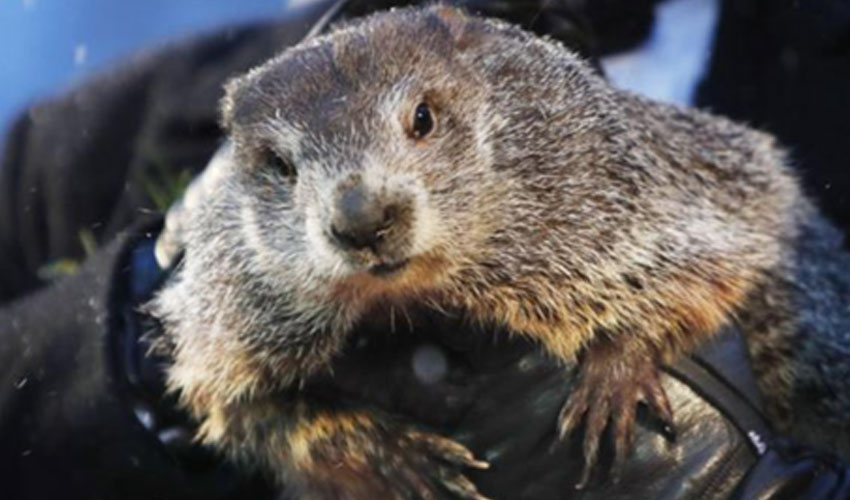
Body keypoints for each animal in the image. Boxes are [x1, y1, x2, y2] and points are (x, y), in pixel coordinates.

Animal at [148, 4, 850, 497]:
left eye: (423, 117)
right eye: (280, 165)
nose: (362, 219)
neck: (422, 296)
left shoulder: (643, 186)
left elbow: (698, 266)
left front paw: (613, 375)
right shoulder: (238, 303)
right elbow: (238, 404)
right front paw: (396, 455)